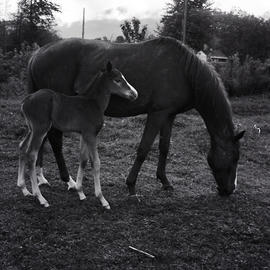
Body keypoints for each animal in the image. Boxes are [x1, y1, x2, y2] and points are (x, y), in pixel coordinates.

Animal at [17, 61, 137, 209]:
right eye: (118, 80)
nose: (134, 94)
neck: (93, 103)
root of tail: (26, 101)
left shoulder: (84, 134)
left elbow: (83, 159)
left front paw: (80, 192)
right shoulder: (91, 134)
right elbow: (96, 162)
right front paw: (102, 199)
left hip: (31, 129)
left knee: (22, 147)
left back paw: (24, 189)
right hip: (40, 129)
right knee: (32, 154)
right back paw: (40, 197)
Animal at [27, 35, 245, 196]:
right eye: (233, 158)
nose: (230, 190)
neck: (184, 71)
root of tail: (38, 53)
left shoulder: (169, 115)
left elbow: (164, 148)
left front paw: (165, 181)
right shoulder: (157, 114)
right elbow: (144, 149)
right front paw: (131, 185)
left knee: (43, 139)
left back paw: (41, 177)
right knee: (55, 141)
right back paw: (69, 181)